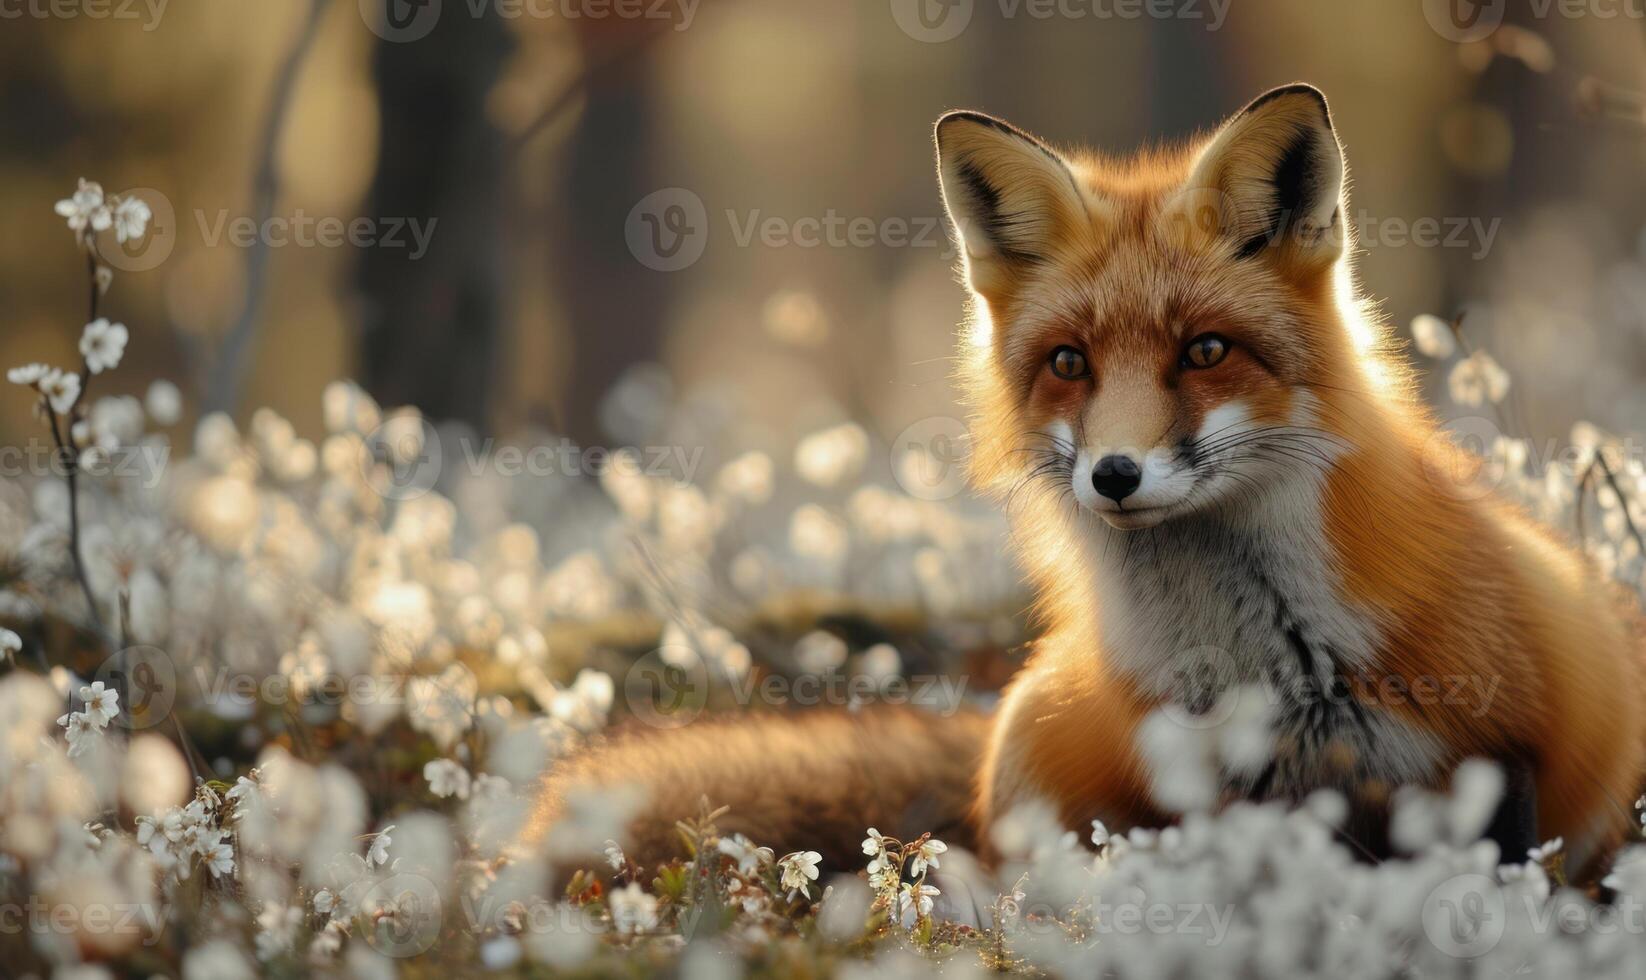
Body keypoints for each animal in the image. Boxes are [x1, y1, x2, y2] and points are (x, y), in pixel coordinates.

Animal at [530, 84, 1646, 882]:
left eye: (1205, 351)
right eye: (1069, 362)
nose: (1114, 474)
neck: (1271, 653)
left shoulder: (1497, 760)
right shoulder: (1213, 795)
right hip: (1034, 731)